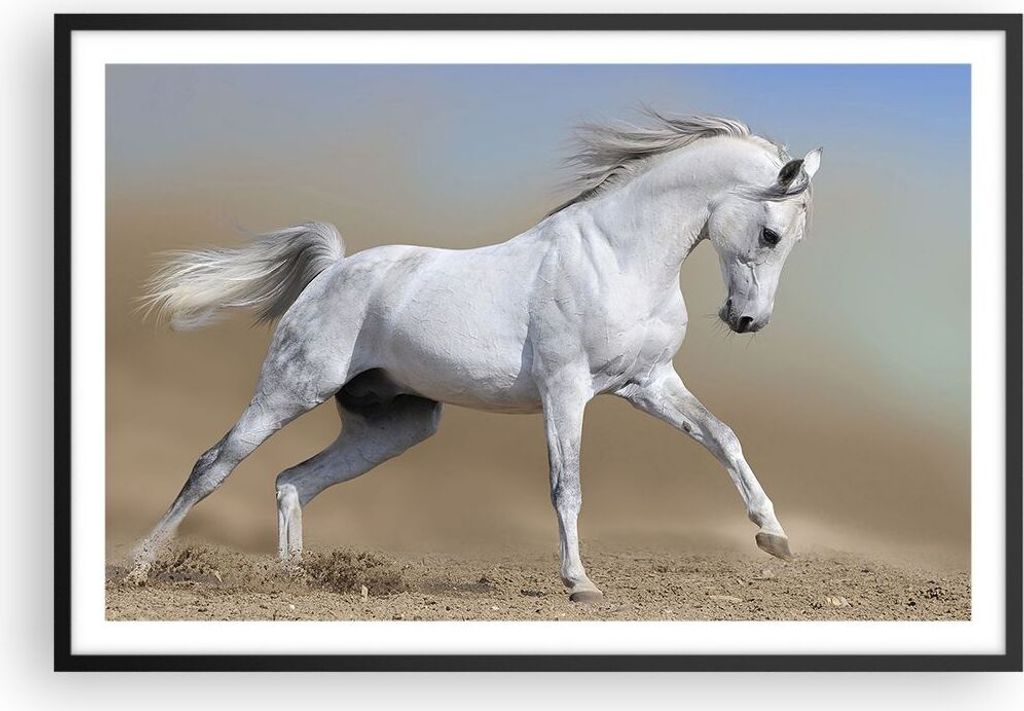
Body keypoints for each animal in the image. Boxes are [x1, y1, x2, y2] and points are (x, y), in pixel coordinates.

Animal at [131, 112, 822, 602]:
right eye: (771, 234)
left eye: (792, 239)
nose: (747, 320)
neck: (617, 258)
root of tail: (331, 271)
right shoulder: (566, 390)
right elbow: (567, 485)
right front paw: (579, 583)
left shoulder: (648, 383)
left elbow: (723, 437)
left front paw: (774, 537)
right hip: (290, 389)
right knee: (214, 465)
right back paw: (140, 565)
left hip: (396, 425)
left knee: (293, 480)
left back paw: (294, 579)